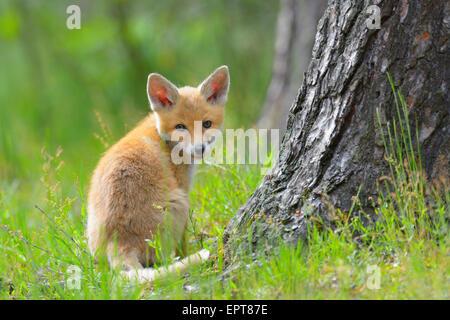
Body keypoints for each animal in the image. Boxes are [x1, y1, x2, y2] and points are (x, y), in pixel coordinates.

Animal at [86, 66, 230, 282]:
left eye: (206, 124)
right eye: (180, 126)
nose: (200, 149)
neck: (161, 135)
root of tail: (118, 238)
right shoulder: (184, 191)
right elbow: (183, 244)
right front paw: (188, 256)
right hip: (179, 205)